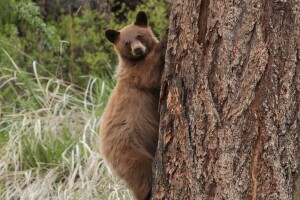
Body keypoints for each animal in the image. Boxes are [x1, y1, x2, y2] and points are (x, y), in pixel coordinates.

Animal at [99, 11, 168, 200]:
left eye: (139, 36)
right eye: (126, 43)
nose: (138, 49)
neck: (135, 60)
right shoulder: (136, 74)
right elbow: (150, 72)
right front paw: (166, 39)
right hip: (129, 151)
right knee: (142, 173)